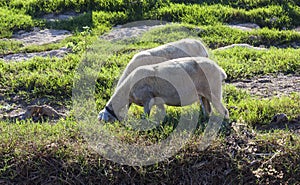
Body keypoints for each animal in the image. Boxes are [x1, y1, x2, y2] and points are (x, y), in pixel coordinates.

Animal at [97, 56, 229, 123]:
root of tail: (219, 69)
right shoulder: (157, 100)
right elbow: (161, 110)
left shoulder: (147, 98)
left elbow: (146, 115)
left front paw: (145, 123)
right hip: (203, 93)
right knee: (208, 109)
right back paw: (205, 120)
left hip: (213, 89)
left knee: (224, 110)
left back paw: (225, 122)